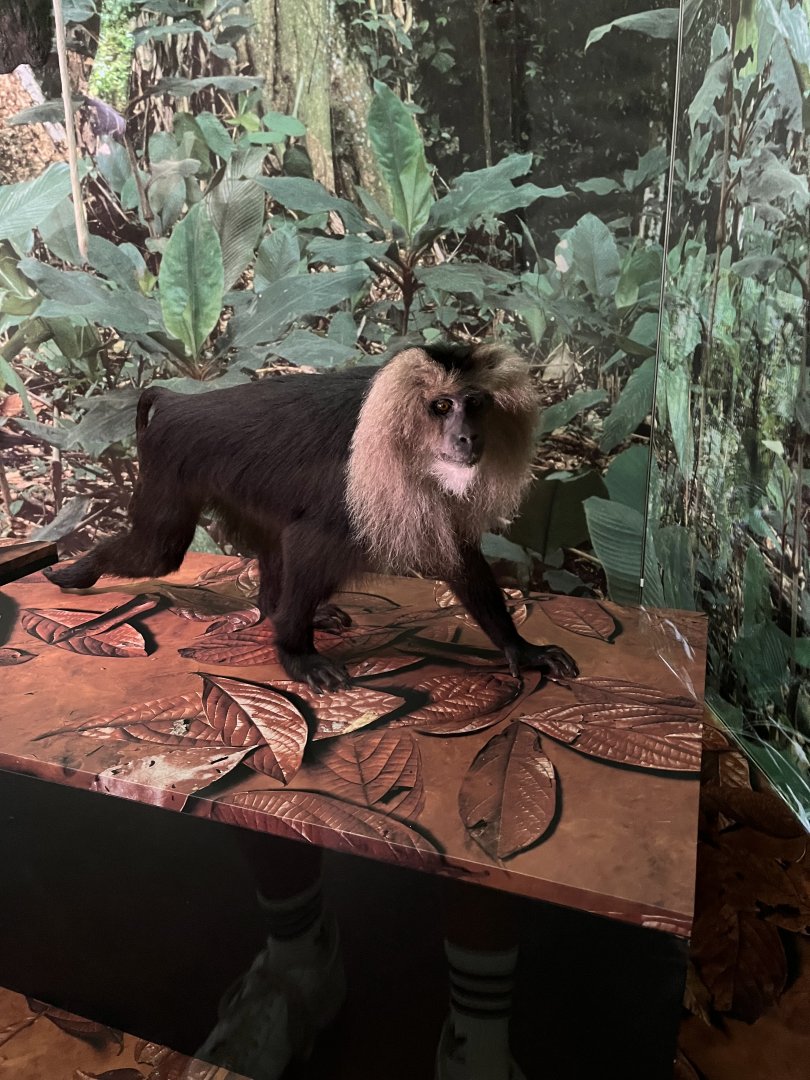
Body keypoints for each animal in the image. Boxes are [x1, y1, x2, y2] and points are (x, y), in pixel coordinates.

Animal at [45, 343, 579, 691]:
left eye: (477, 404)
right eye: (443, 406)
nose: (468, 438)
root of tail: (179, 402)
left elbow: (459, 556)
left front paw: (520, 648)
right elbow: (308, 541)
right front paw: (296, 654)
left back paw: (276, 606)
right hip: (168, 459)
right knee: (160, 552)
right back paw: (81, 569)